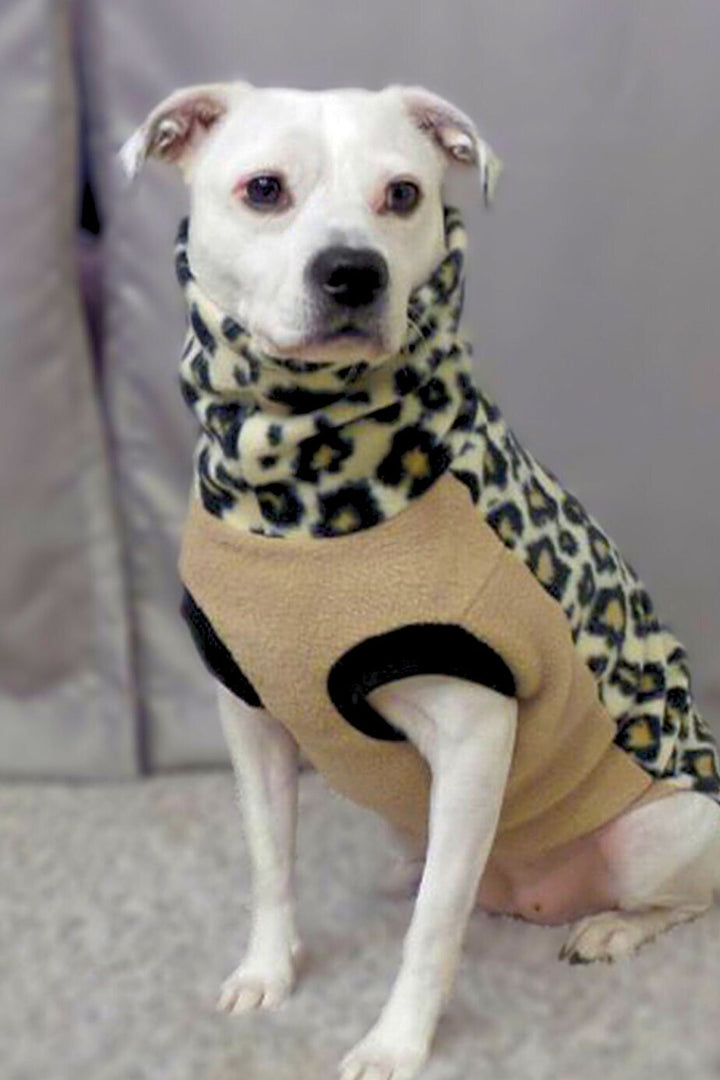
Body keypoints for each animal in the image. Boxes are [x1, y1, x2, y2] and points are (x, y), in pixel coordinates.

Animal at [120, 84, 716, 1080]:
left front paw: (395, 1042)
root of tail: (530, 890)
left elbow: (435, 927)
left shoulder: (475, 732)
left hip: (652, 835)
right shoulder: (248, 716)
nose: (353, 273)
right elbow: (269, 862)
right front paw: (267, 972)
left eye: (403, 194)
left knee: (673, 902)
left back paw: (609, 930)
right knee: (438, 867)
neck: (304, 500)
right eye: (264, 189)